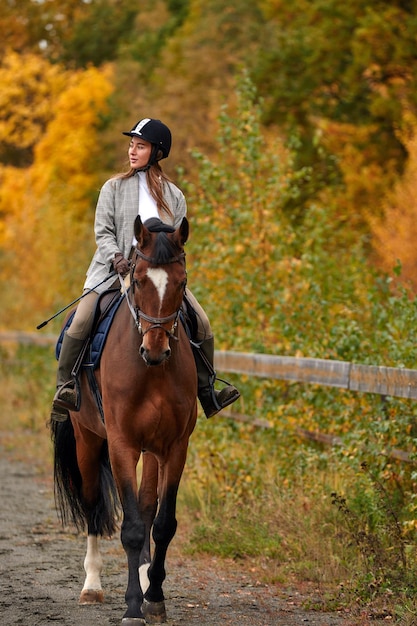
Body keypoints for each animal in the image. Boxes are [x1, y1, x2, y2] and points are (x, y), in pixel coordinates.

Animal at [50, 213, 197, 620]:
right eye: (141, 280)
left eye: (181, 282)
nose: (155, 349)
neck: (152, 373)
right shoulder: (122, 445)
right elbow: (129, 528)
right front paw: (133, 608)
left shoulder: (174, 447)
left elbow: (161, 524)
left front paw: (155, 598)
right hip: (87, 441)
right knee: (92, 506)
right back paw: (92, 586)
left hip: (152, 452)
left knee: (146, 510)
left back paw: (146, 580)